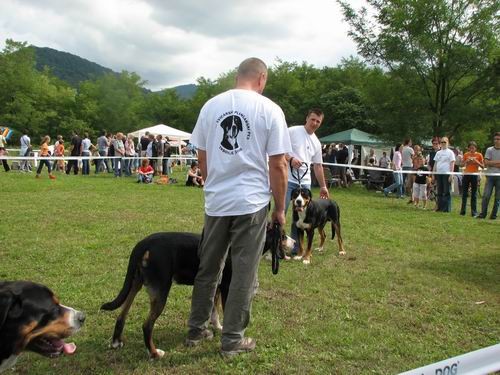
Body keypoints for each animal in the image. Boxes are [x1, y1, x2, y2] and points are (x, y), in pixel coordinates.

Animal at [100, 229, 290, 362]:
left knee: (121, 315)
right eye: (283, 236)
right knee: (147, 326)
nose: (294, 242)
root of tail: (144, 243)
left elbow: (214, 311)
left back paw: (116, 342)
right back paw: (155, 353)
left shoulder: (216, 286)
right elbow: (224, 309)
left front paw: (217, 327)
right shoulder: (227, 287)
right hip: (160, 291)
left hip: (135, 284)